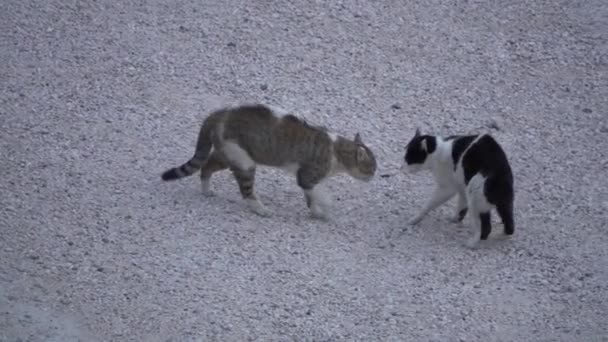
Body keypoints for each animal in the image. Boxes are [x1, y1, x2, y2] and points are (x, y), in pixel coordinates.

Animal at [160, 103, 376, 219]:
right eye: (372, 168)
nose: (374, 177)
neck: (336, 151)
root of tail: (218, 114)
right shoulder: (306, 176)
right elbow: (319, 194)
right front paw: (326, 207)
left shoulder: (310, 181)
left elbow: (312, 197)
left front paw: (317, 213)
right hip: (244, 162)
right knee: (246, 192)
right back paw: (261, 209)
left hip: (229, 154)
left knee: (206, 166)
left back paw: (206, 190)